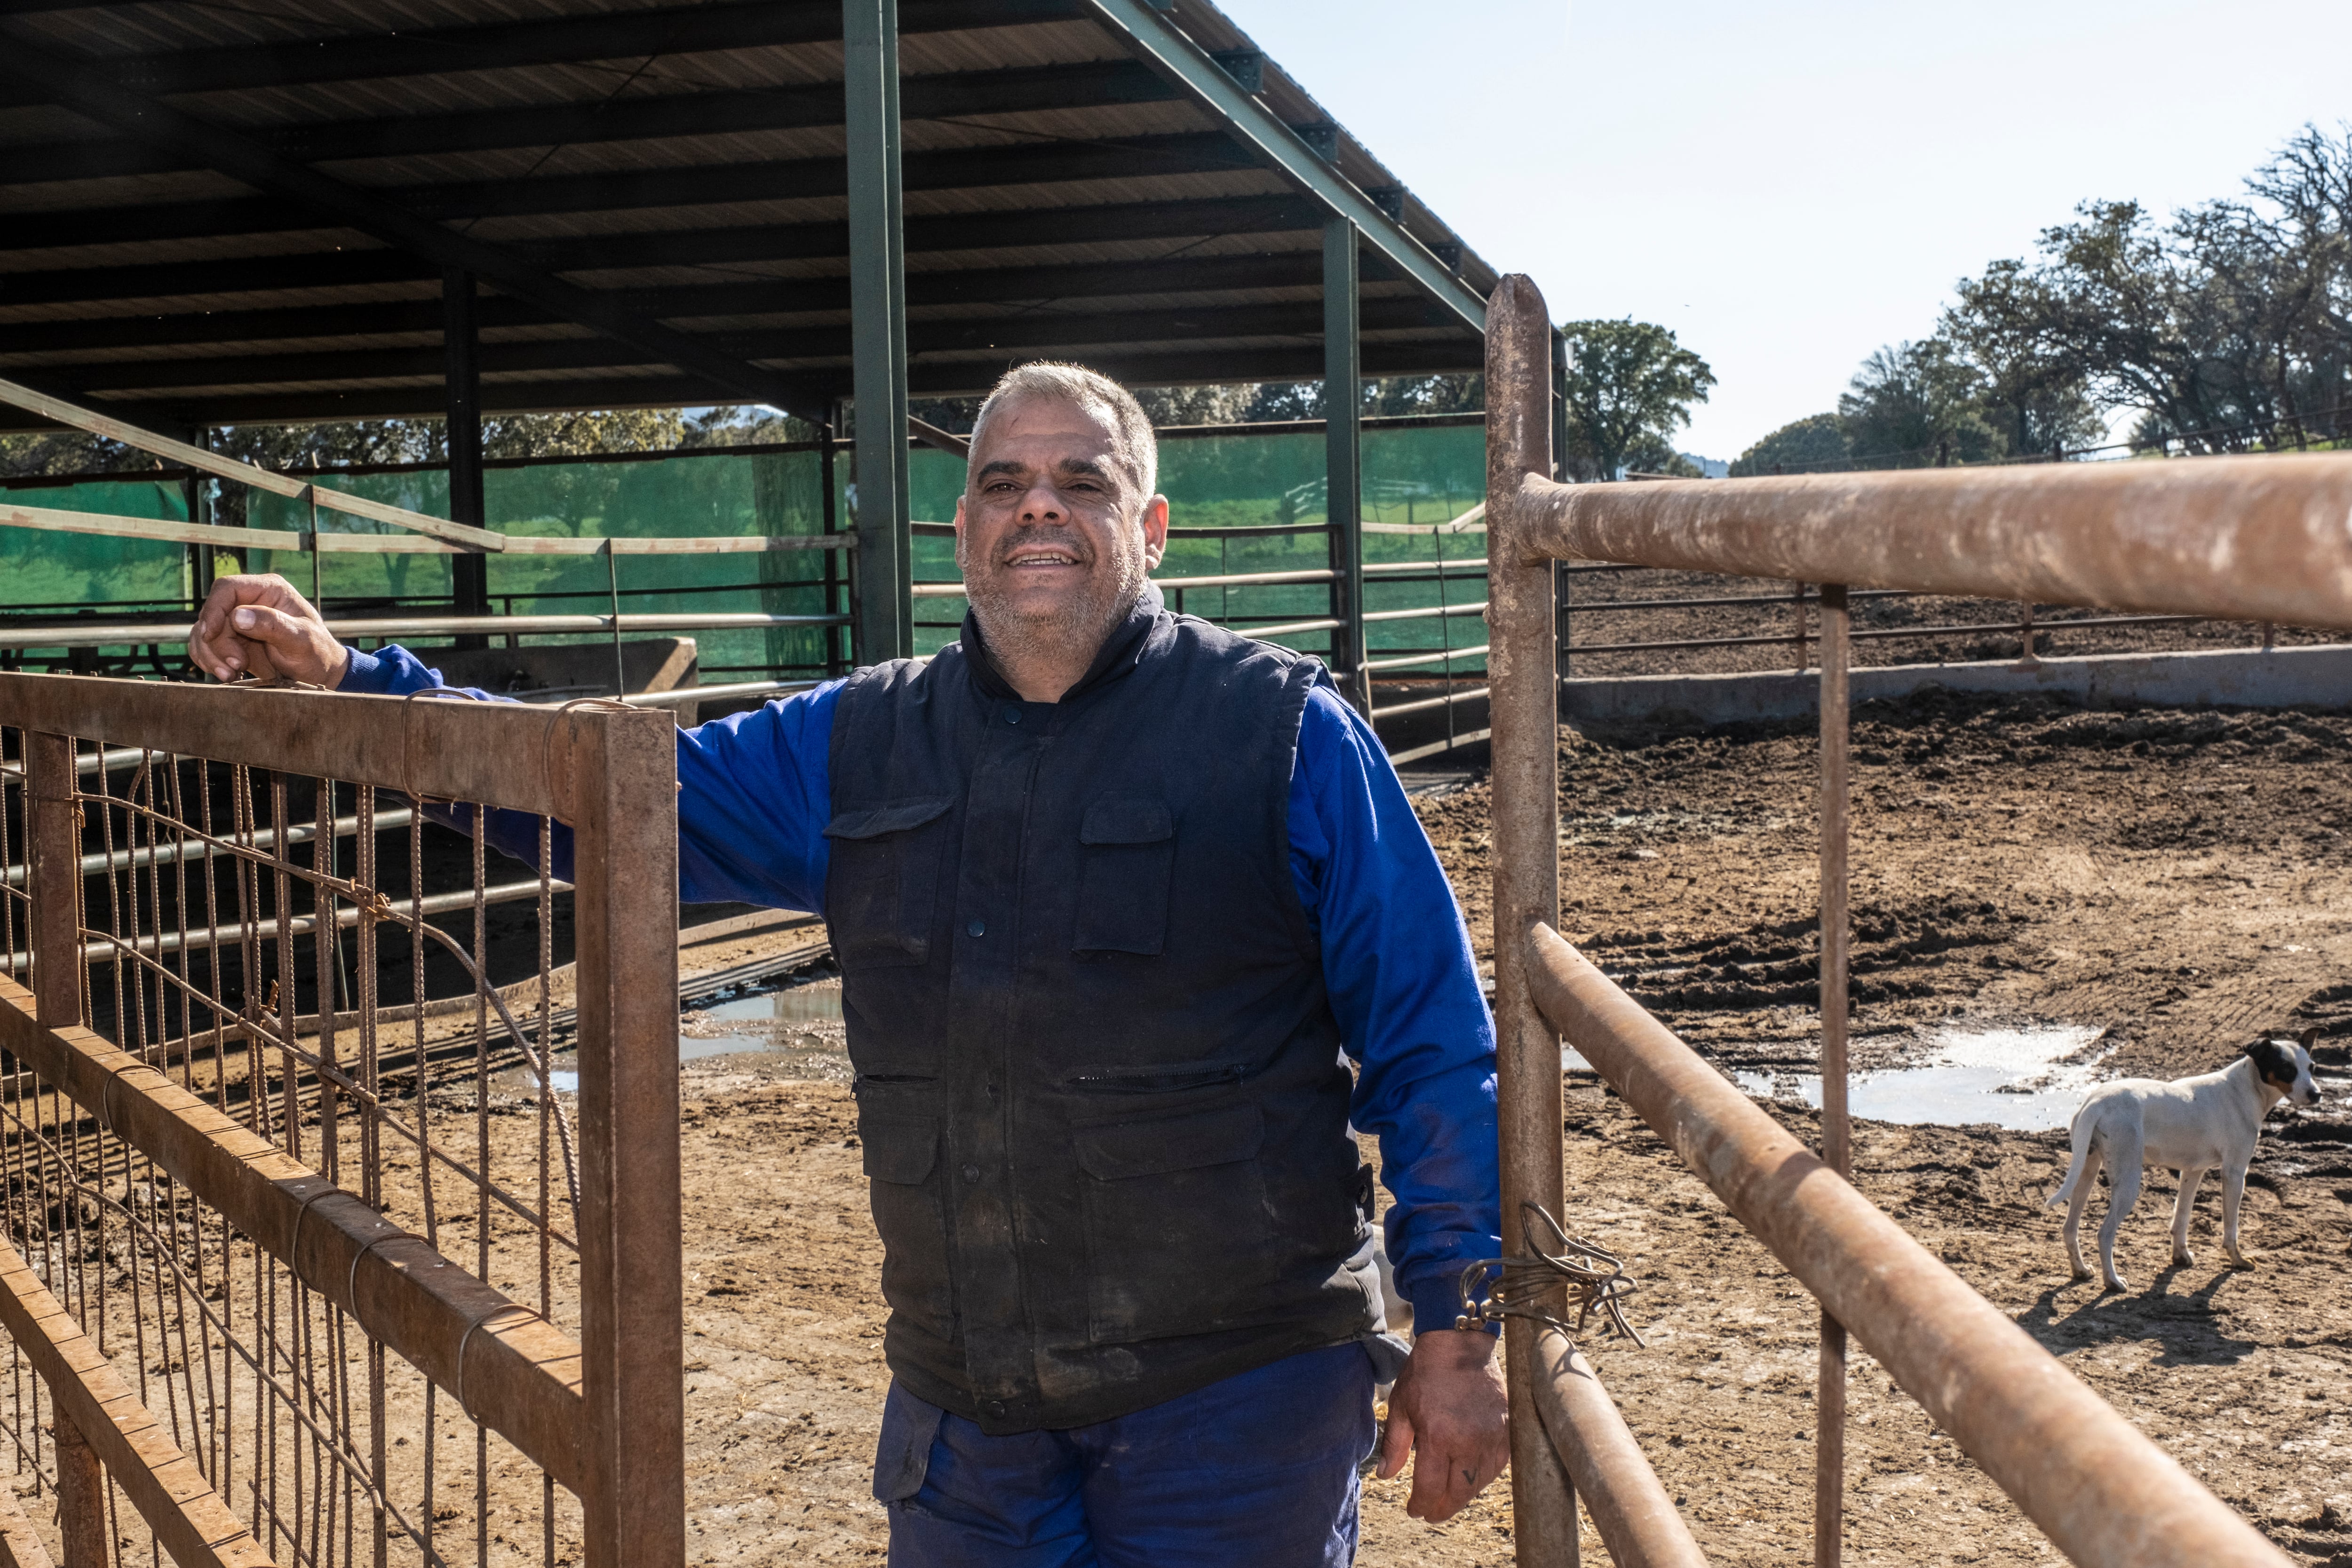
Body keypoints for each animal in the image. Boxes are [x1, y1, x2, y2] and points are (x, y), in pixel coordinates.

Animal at [2051, 1029, 2324, 1288]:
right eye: (2287, 1069)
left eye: (2312, 1067)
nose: (2317, 1094)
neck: (2245, 1089)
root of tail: (2097, 1102)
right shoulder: (2235, 1173)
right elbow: (2231, 1229)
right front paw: (2238, 1260)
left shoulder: (2192, 1172)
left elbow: (2181, 1218)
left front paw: (2180, 1256)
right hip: (2127, 1182)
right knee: (2104, 1234)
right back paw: (2113, 1281)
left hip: (2086, 1172)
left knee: (2069, 1228)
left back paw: (2081, 1270)